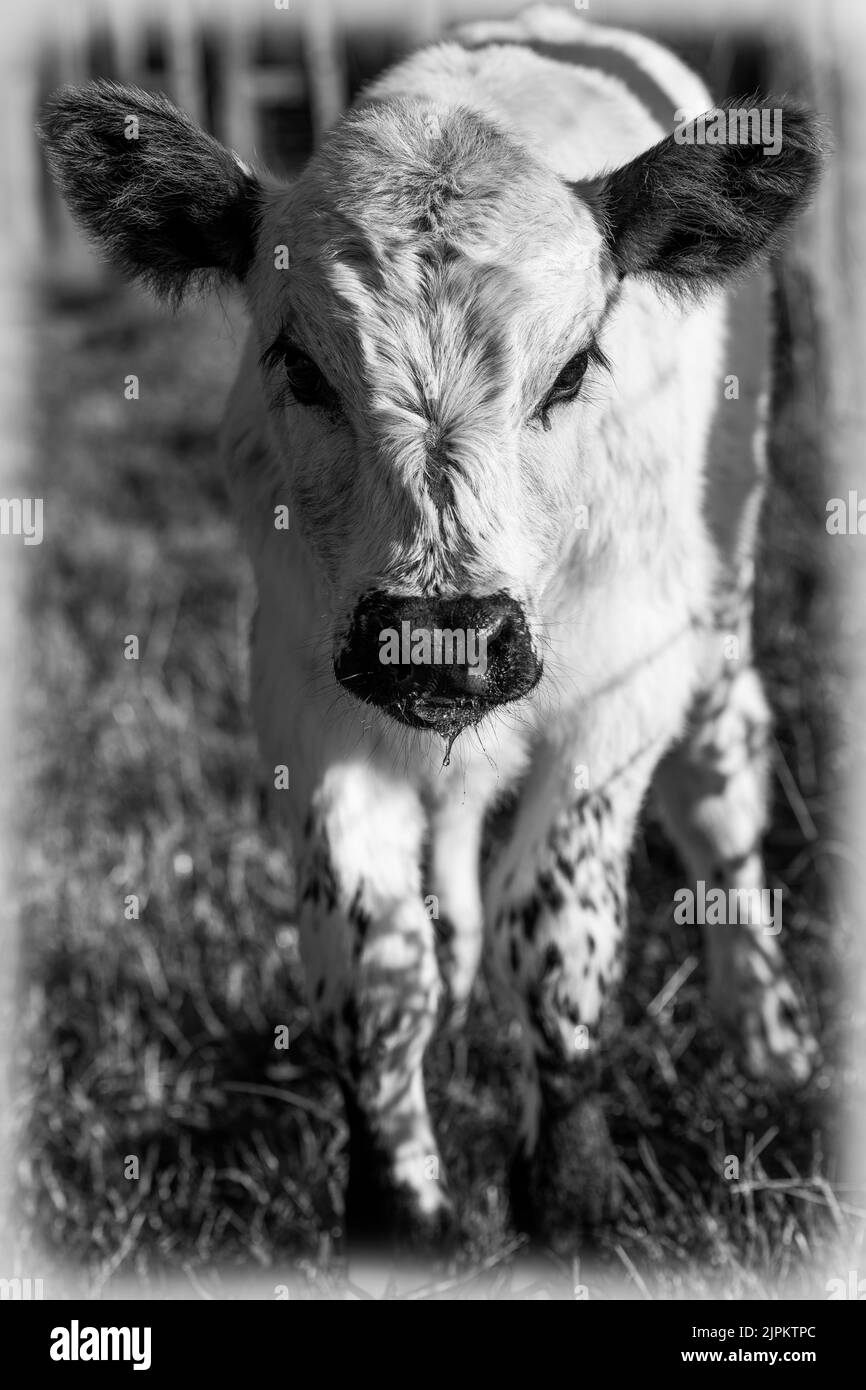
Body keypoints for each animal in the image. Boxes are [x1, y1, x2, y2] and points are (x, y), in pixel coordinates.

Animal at [40, 4, 824, 1253]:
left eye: (574, 369)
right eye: (299, 366)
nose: (445, 636)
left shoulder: (621, 685)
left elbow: (551, 927)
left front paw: (569, 1195)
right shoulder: (302, 690)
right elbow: (372, 961)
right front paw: (395, 1207)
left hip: (715, 614)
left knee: (720, 799)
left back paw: (767, 1035)